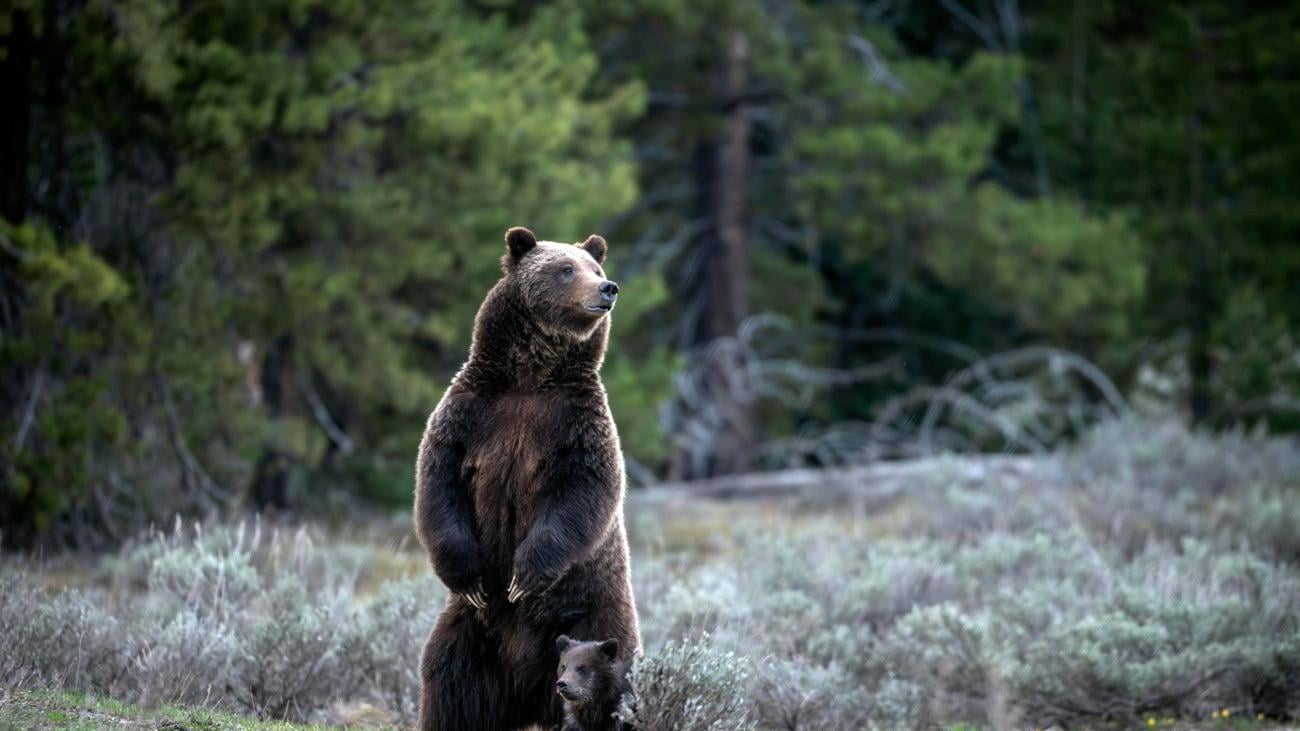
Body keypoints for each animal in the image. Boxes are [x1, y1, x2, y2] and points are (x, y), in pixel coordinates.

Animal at [416, 227, 639, 728]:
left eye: (594, 267)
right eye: (566, 268)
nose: (608, 288)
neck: (531, 375)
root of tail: (524, 690)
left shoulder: (576, 423)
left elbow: (583, 492)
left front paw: (524, 576)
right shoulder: (472, 412)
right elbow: (439, 483)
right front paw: (469, 577)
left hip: (592, 617)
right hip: (472, 634)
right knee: (449, 680)